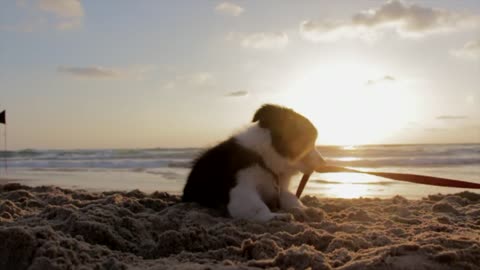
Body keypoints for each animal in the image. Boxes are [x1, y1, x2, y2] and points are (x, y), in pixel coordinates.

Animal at [182, 104, 324, 221]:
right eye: (308, 141)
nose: (323, 162)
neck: (264, 157)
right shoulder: (241, 186)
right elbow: (257, 206)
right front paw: (274, 216)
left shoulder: (280, 188)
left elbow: (291, 198)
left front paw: (306, 209)